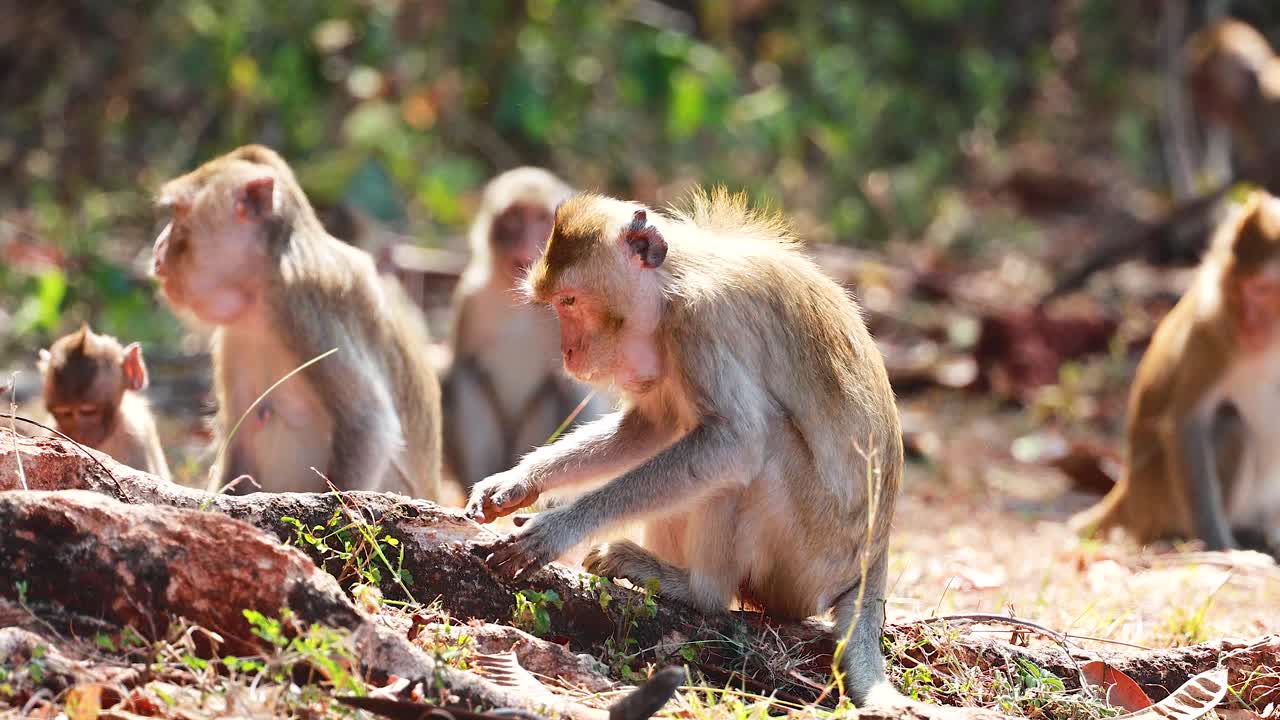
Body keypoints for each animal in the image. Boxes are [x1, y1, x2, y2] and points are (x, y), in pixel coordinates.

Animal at [150, 144, 443, 499]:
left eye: (178, 214)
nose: (157, 247)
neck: (263, 291)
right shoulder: (234, 337)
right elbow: (243, 440)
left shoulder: (306, 301)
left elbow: (369, 423)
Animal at [443, 167, 612, 492]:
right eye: (513, 219)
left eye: (541, 220)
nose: (525, 241)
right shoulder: (470, 298)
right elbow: (461, 365)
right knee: (465, 376)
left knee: (559, 388)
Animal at [465, 189, 905, 707]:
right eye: (556, 304)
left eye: (570, 301)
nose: (567, 352)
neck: (673, 283)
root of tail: (873, 560)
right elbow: (653, 426)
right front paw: (517, 481)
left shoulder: (701, 324)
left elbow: (735, 441)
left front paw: (559, 528)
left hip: (808, 561)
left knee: (760, 444)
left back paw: (698, 591)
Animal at [1071, 190, 1280, 553]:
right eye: (1246, 289)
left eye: (1266, 292)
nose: (1248, 326)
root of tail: (1128, 488)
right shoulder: (1210, 335)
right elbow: (1187, 424)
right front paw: (1217, 544)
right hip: (1159, 497)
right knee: (1229, 424)